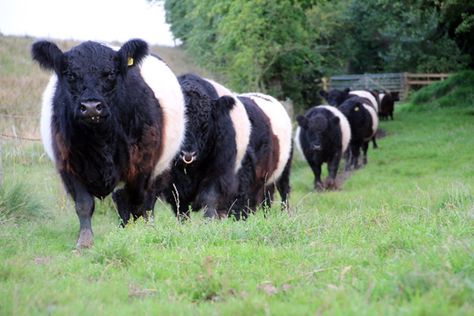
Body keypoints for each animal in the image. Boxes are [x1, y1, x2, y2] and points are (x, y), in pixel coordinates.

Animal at [32, 39, 185, 247]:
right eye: (70, 75)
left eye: (111, 74)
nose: (90, 107)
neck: (100, 139)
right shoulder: (68, 165)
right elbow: (84, 204)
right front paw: (84, 242)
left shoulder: (142, 167)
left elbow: (139, 205)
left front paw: (140, 235)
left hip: (161, 169)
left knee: (146, 202)